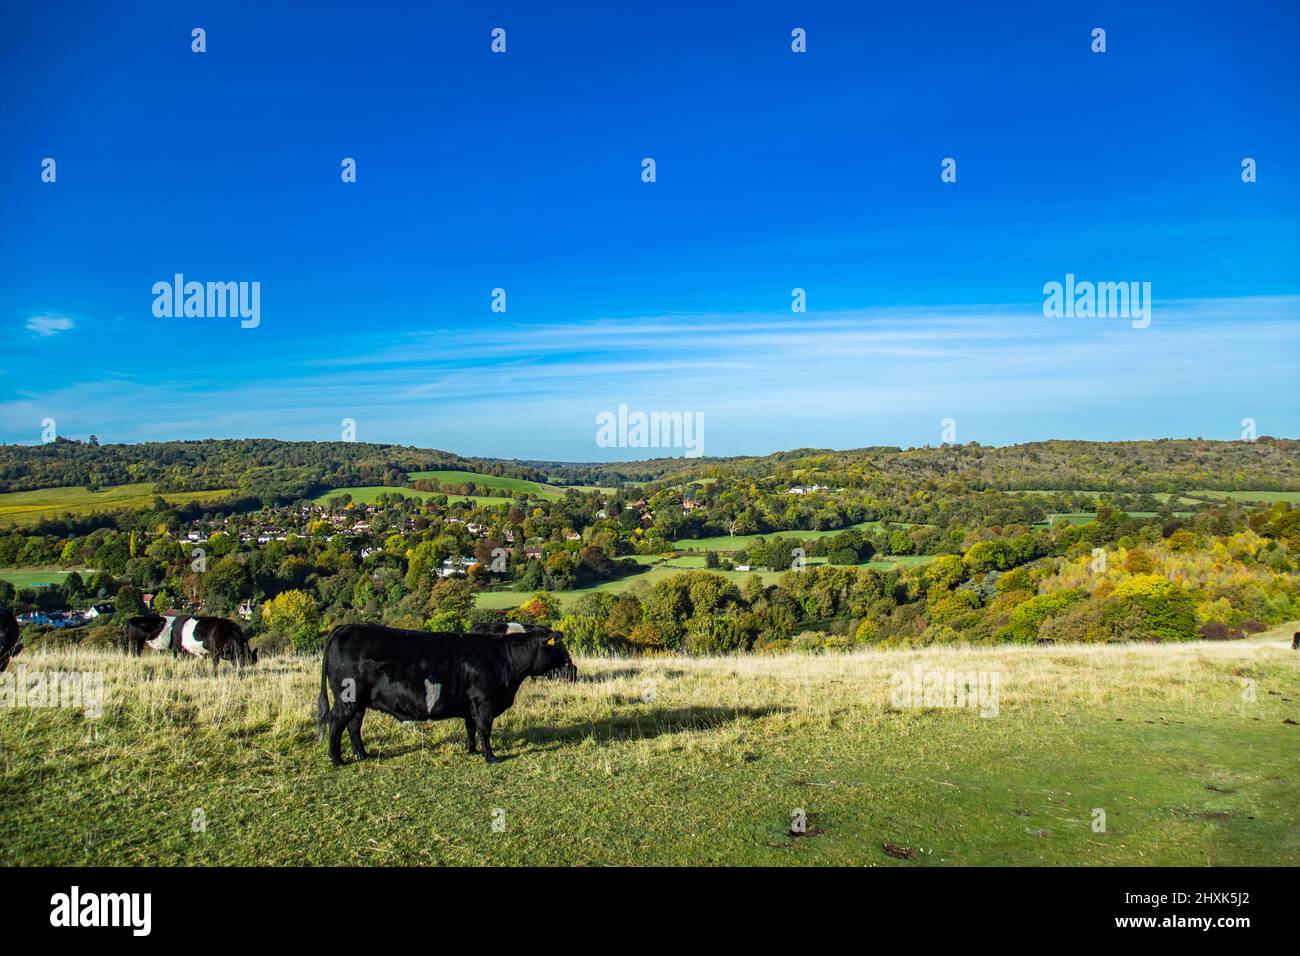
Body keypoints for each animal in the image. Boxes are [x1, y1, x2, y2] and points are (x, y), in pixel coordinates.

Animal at [314, 621, 574, 770]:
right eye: (558, 645)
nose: (570, 663)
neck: (503, 657)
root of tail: (345, 627)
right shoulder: (483, 702)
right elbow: (484, 729)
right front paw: (491, 757)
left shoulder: (470, 704)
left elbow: (470, 727)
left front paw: (472, 750)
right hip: (347, 697)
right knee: (336, 722)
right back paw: (337, 759)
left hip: (359, 701)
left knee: (354, 725)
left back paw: (362, 755)